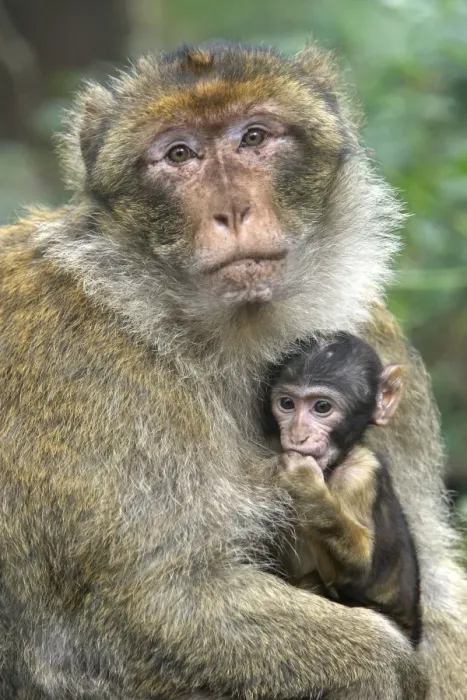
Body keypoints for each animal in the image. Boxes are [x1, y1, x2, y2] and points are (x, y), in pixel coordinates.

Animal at [265, 333, 421, 646]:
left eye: (322, 408)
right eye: (286, 403)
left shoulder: (359, 476)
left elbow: (360, 570)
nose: (298, 435)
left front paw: (304, 484)